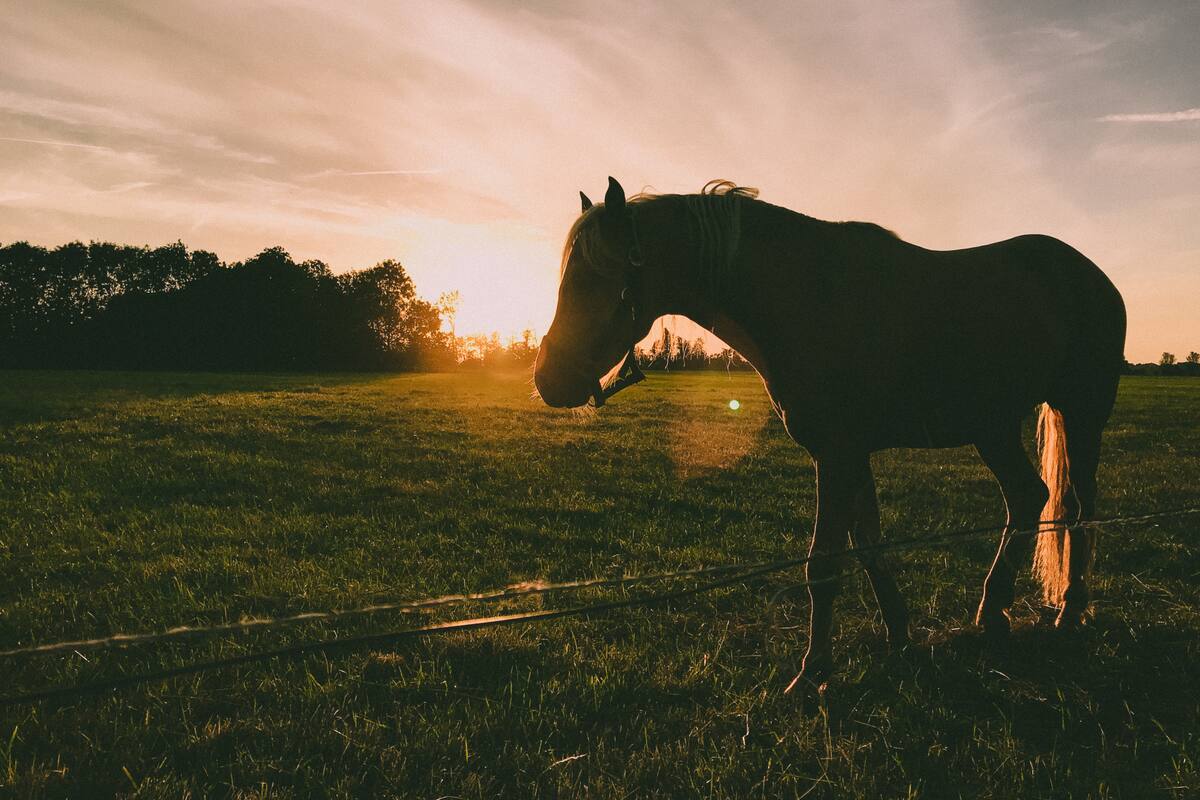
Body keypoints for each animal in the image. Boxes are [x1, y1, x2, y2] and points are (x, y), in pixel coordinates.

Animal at [534, 177, 1127, 692]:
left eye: (593, 276)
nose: (548, 379)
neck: (806, 296)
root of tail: (1092, 275)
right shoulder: (849, 455)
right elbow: (867, 547)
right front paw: (900, 635)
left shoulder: (837, 455)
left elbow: (823, 564)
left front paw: (813, 672)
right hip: (994, 427)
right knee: (1028, 497)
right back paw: (995, 611)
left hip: (1081, 414)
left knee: (1079, 508)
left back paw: (1069, 610)